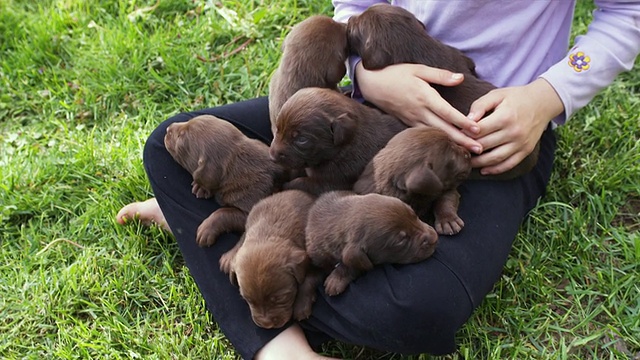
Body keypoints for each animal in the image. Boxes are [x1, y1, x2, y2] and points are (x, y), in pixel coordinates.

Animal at [220, 190, 322, 328]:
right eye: (248, 300)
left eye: (280, 298)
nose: (266, 324)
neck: (267, 231)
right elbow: (243, 236)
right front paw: (230, 258)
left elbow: (309, 278)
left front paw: (301, 306)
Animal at [268, 86, 408, 195]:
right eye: (278, 129)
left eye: (302, 140)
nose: (272, 157)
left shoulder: (333, 182)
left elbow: (301, 182)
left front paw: (284, 185)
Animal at [304, 191, 436, 296]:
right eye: (401, 241)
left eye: (414, 215)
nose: (434, 238)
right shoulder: (317, 256)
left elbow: (352, 265)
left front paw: (336, 279)